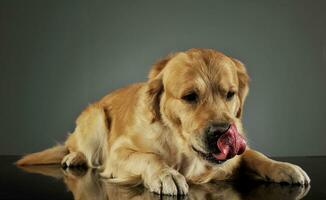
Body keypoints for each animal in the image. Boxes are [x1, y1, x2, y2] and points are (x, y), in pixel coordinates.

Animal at [17, 48, 310, 195]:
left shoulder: (237, 155)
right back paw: (74, 157)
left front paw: (284, 168)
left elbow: (255, 155)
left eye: (230, 94)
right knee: (78, 147)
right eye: (190, 97)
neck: (181, 146)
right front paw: (166, 174)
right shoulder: (118, 153)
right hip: (96, 117)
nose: (222, 131)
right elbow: (149, 157)